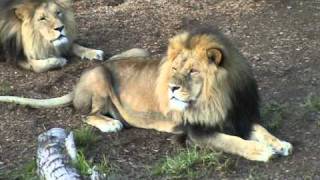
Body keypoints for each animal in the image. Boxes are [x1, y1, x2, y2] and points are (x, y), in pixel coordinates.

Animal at [0, 26, 292, 162]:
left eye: (193, 71)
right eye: (174, 68)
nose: (170, 87)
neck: (220, 96)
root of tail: (74, 87)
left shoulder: (240, 116)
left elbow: (261, 129)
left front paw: (279, 143)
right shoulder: (196, 132)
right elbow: (233, 141)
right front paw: (262, 151)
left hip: (137, 52)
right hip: (99, 76)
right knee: (85, 114)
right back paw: (110, 123)